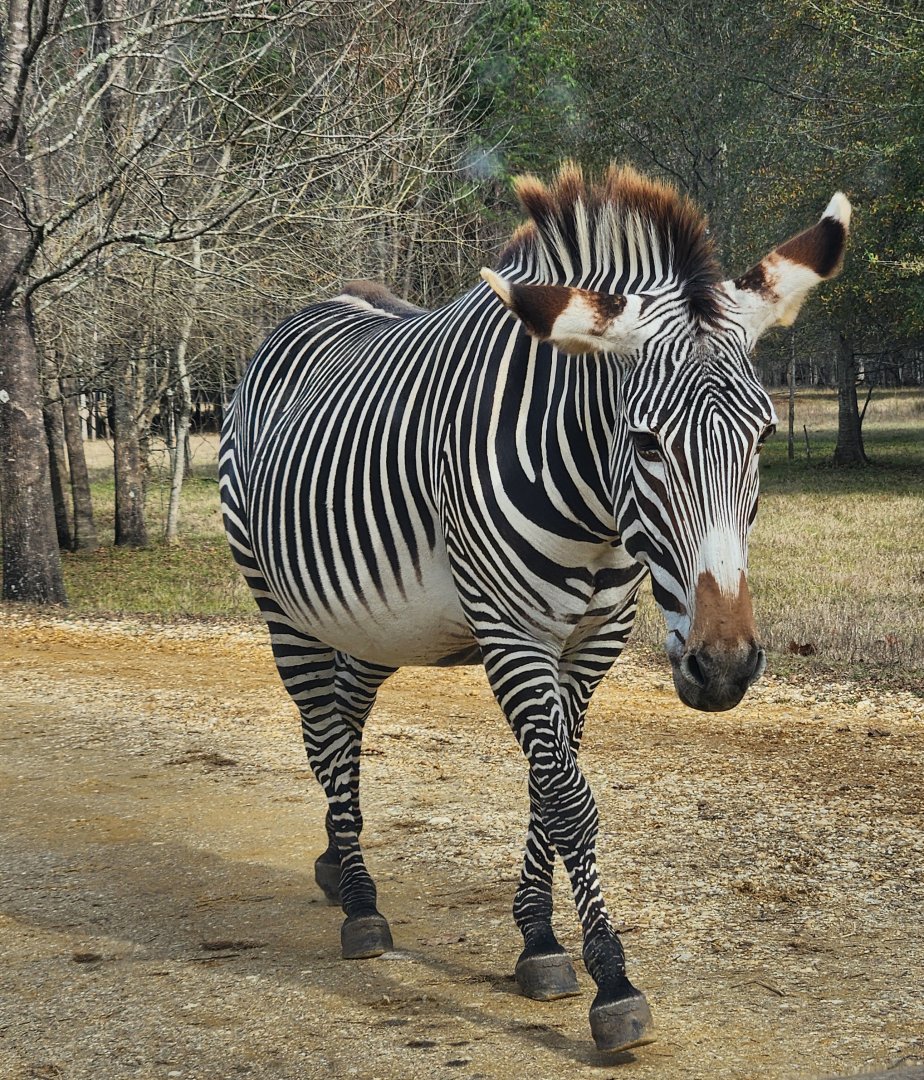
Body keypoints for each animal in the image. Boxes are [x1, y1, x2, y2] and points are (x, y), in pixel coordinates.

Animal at [219, 163, 850, 1052]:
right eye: (646, 442)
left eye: (761, 438)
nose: (724, 666)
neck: (595, 506)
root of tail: (326, 300)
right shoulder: (514, 634)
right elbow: (569, 799)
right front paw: (611, 980)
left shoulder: (592, 644)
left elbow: (545, 790)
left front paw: (540, 941)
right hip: (282, 606)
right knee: (323, 733)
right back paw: (362, 903)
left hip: (373, 623)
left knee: (341, 722)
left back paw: (338, 868)